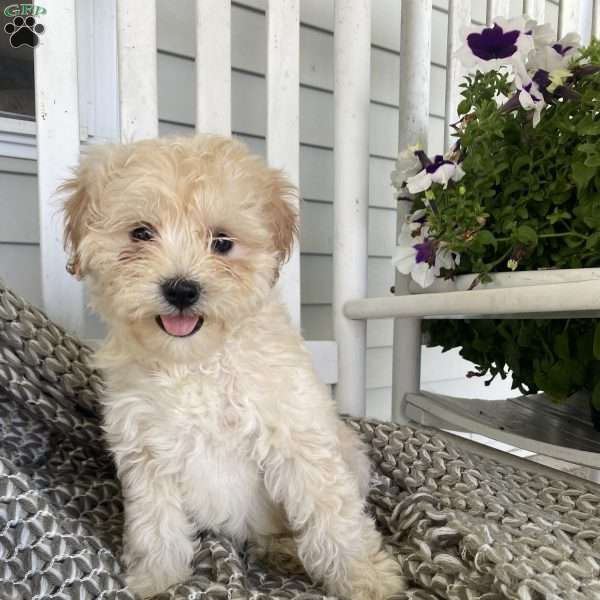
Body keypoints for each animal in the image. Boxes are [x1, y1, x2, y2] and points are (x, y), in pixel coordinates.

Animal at [61, 137, 404, 600]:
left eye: (222, 242)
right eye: (141, 233)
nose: (182, 289)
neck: (196, 362)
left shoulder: (296, 434)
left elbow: (331, 512)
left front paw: (365, 577)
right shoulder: (145, 450)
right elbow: (155, 523)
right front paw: (158, 579)